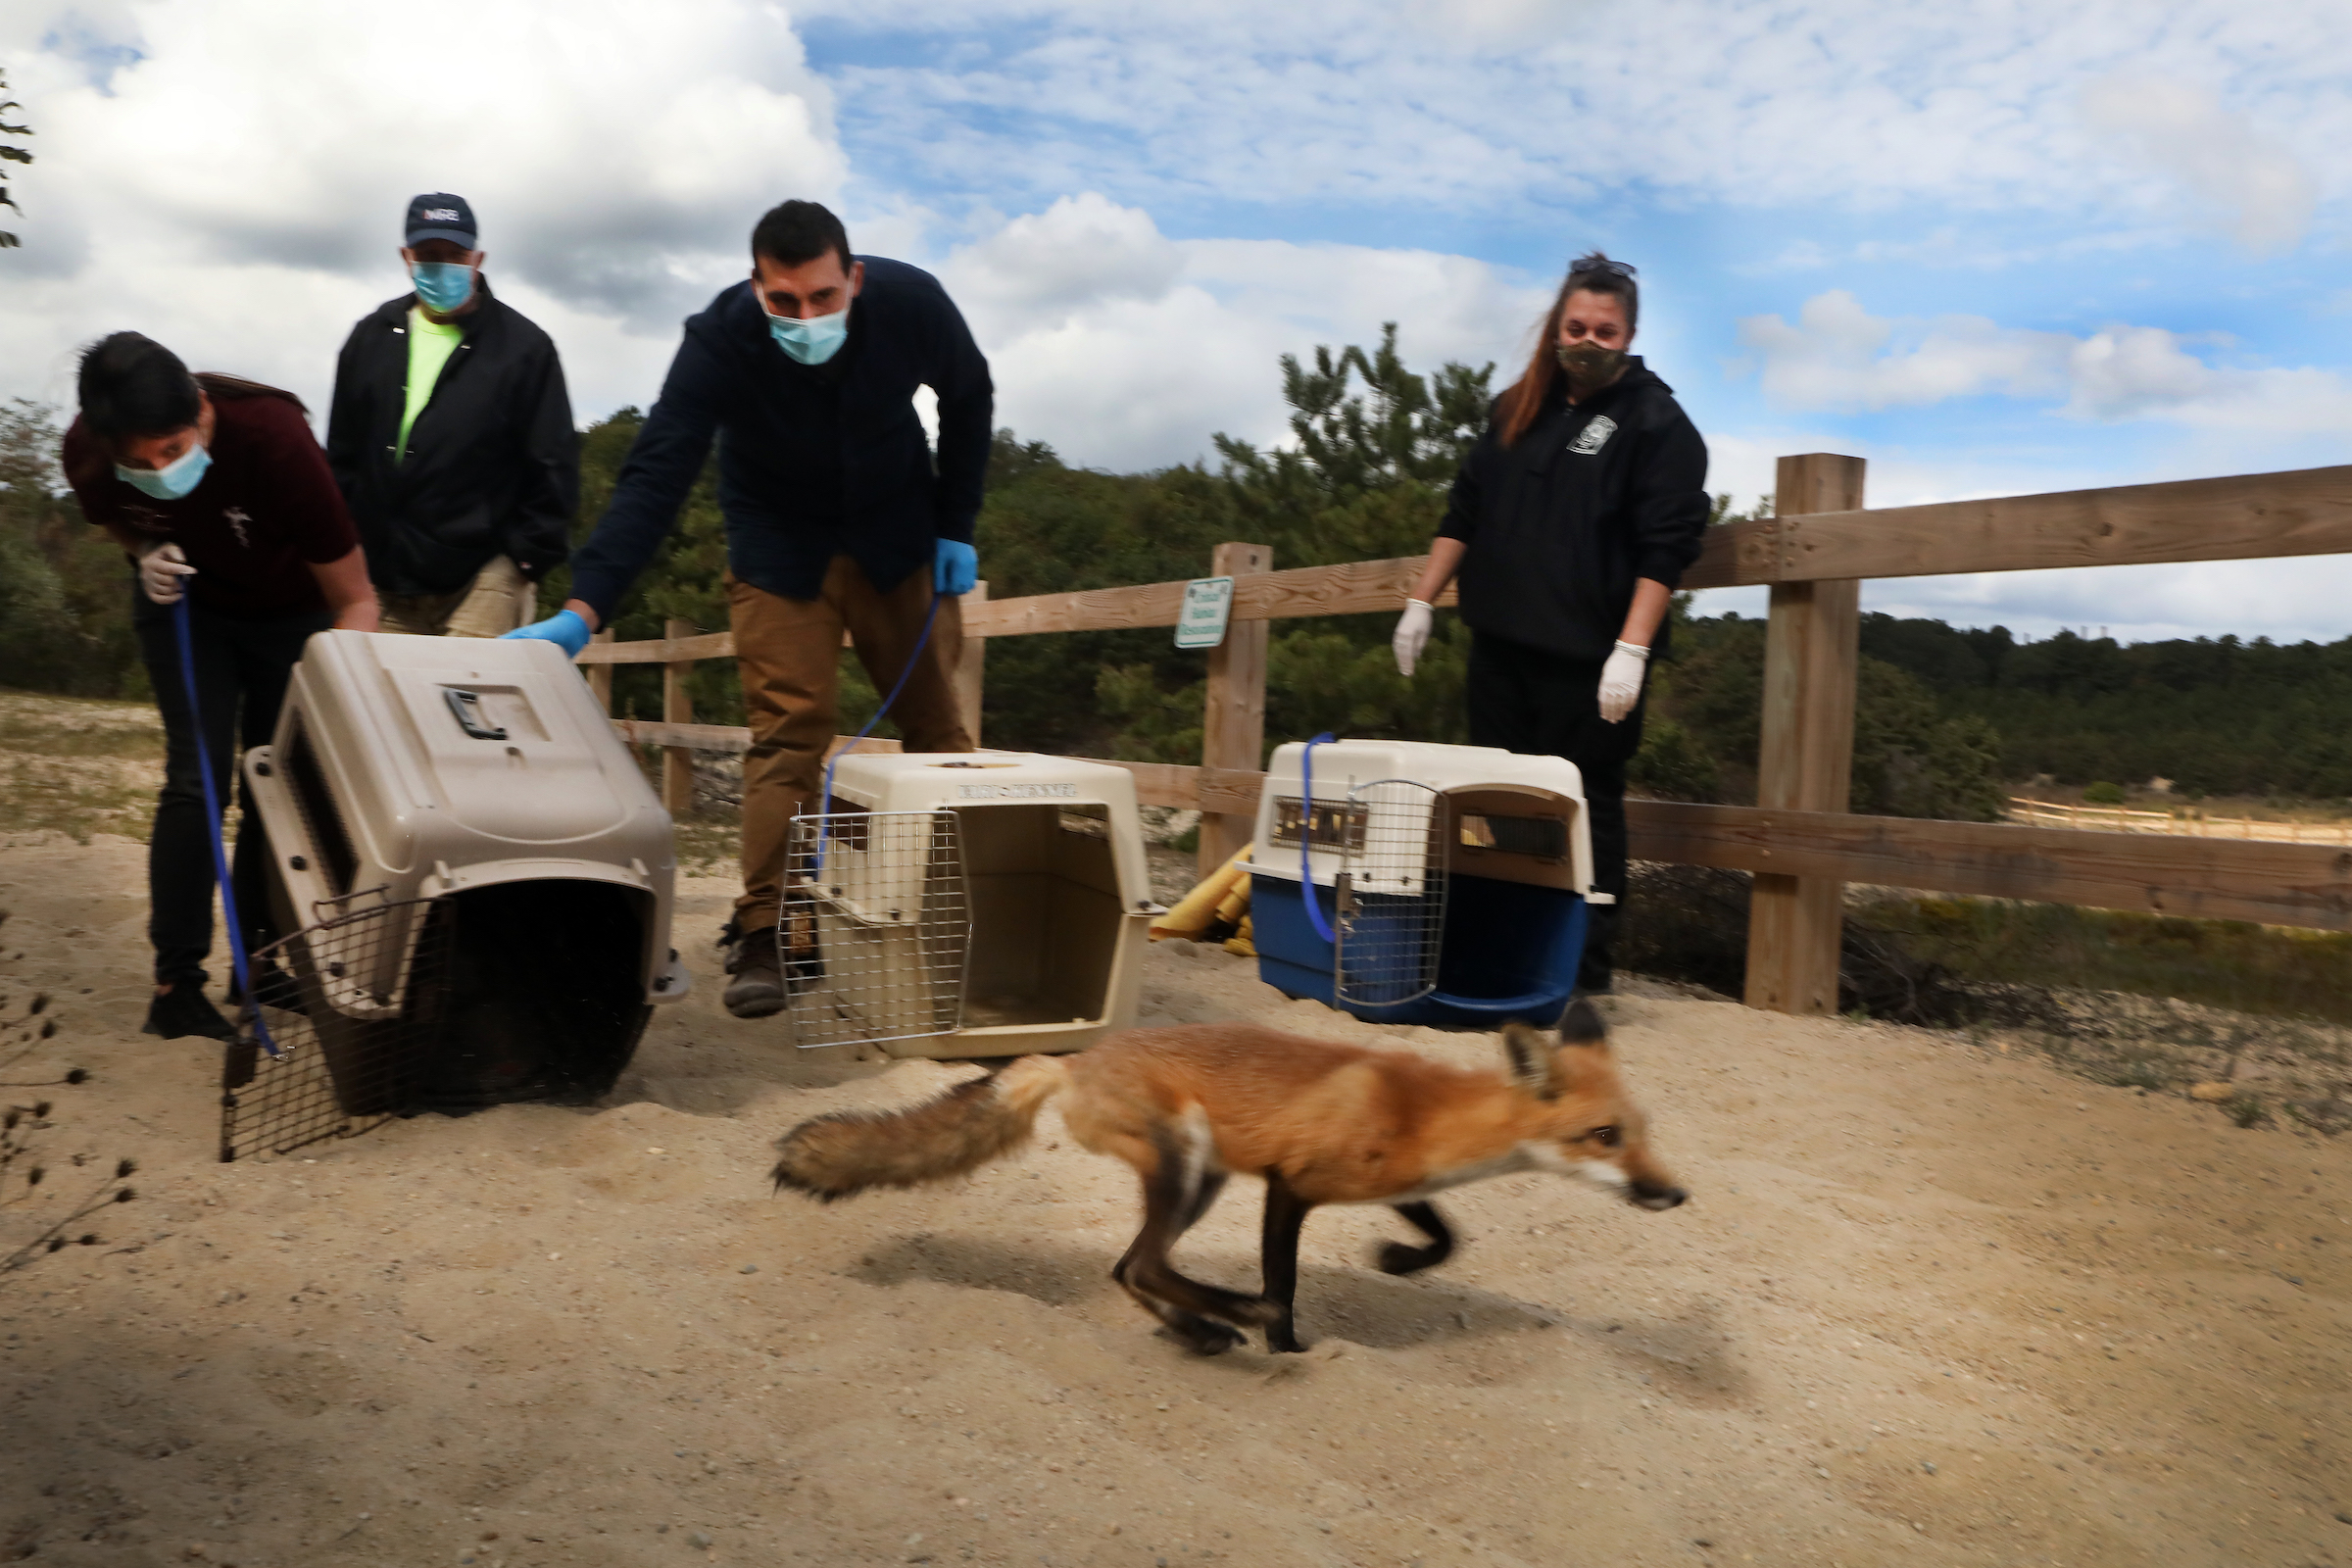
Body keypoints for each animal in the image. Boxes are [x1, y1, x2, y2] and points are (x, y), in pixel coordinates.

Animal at [771, 999, 1685, 1355]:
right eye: (1604, 1137)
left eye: (1643, 1134)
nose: (1675, 1195)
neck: (1425, 1114)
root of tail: (1073, 1059)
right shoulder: (1293, 1185)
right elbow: (1285, 1282)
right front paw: (1290, 1346)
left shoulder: (1396, 1185)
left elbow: (1447, 1238)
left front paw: (1397, 1260)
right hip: (1184, 1162)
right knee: (1142, 1264)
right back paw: (1228, 1319)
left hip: (1198, 1181)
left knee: (1130, 1268)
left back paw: (1197, 1329)